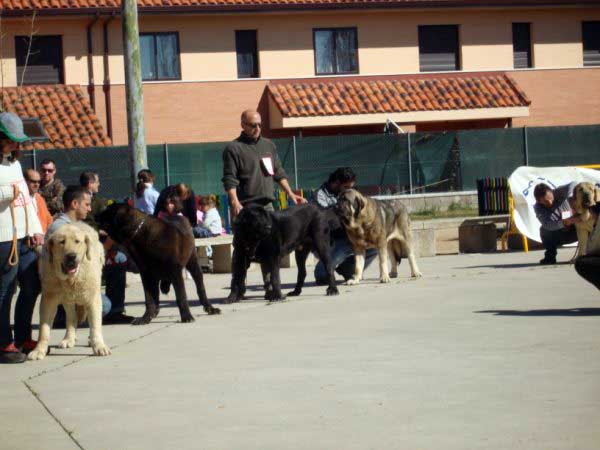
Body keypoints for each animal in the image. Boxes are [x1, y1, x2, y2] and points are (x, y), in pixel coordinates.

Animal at [28, 223, 110, 360]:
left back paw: (89, 340)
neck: (71, 280)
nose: (71, 256)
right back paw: (68, 339)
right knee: (72, 317)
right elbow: (44, 329)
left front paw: (99, 346)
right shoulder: (48, 300)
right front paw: (39, 350)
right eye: (62, 242)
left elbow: (95, 326)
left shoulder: (92, 298)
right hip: (67, 300)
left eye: (77, 241)